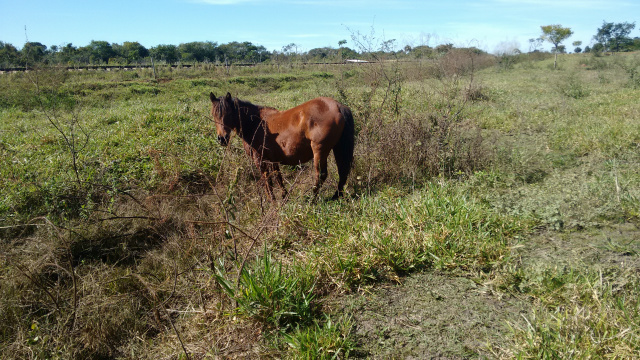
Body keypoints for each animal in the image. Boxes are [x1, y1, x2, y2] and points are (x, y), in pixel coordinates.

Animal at [210, 92, 356, 200]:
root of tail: (337, 106)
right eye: (214, 115)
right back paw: (336, 196)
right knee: (343, 171)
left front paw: (272, 201)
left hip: (320, 151)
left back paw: (312, 199)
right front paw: (284, 196)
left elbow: (268, 181)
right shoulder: (273, 159)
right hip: (338, 148)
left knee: (321, 175)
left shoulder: (260, 161)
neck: (255, 123)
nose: (222, 138)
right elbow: (278, 177)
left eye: (229, 114)